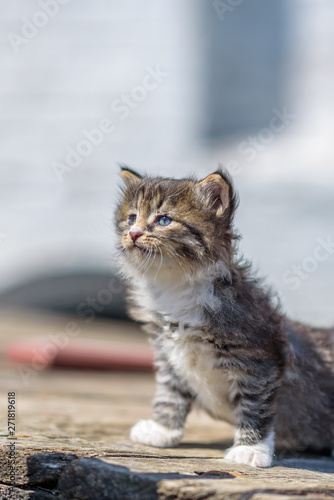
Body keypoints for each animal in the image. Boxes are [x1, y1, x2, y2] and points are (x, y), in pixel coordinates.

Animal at [114, 168, 334, 468]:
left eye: (164, 220)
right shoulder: (167, 352)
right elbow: (170, 393)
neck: (176, 287)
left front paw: (251, 449)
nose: (134, 233)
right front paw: (162, 429)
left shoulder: (259, 361)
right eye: (131, 218)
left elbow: (254, 404)